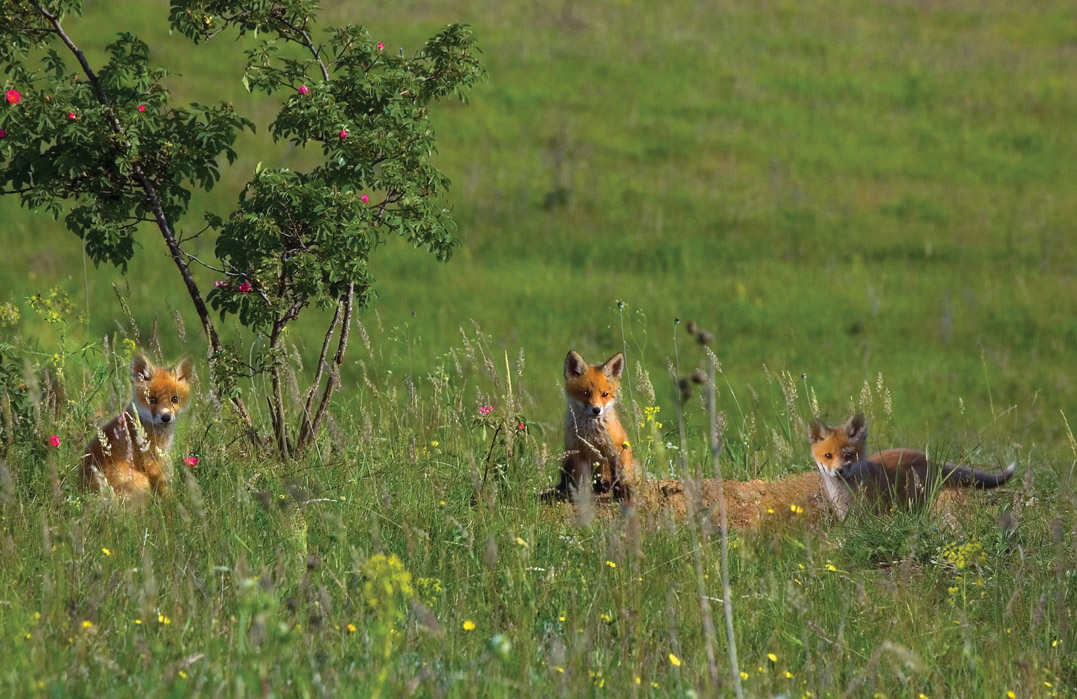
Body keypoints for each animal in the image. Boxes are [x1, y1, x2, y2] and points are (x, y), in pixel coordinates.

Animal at [80, 355, 192, 501]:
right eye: (152, 399)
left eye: (174, 399)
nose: (166, 417)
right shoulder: (151, 461)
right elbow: (165, 490)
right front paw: (173, 503)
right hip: (142, 482)